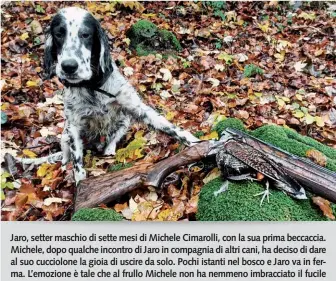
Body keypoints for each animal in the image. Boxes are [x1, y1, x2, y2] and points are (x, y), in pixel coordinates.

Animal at [21, 7, 200, 183]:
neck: (92, 86)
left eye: (85, 34)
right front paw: (80, 185)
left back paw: (109, 149)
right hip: (65, 134)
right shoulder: (74, 126)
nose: (69, 66)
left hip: (125, 121)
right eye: (59, 34)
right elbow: (78, 164)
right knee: (66, 157)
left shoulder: (135, 106)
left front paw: (196, 143)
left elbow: (169, 127)